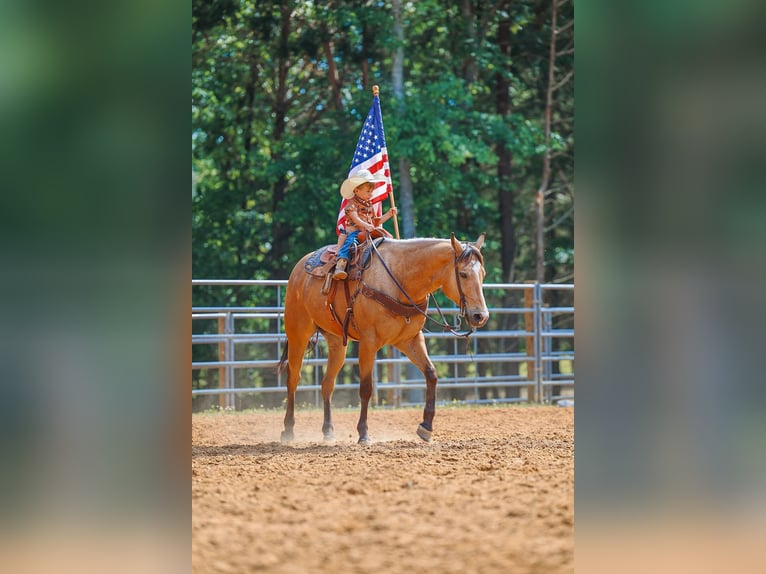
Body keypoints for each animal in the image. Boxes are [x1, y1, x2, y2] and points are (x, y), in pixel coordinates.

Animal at [278, 233, 489, 444]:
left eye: (483, 274)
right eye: (463, 274)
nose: (481, 316)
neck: (400, 278)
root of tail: (299, 269)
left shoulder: (411, 340)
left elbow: (431, 374)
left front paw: (426, 427)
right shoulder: (368, 342)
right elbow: (366, 387)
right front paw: (363, 433)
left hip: (337, 343)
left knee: (327, 384)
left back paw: (328, 431)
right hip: (298, 335)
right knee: (293, 379)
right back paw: (288, 430)